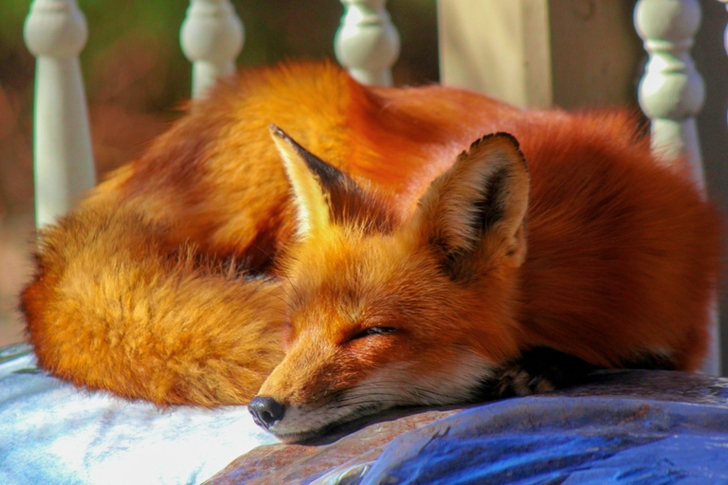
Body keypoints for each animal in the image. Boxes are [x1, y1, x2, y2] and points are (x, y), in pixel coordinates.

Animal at [21, 61, 721, 442]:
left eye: (369, 334)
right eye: (294, 325)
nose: (261, 409)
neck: (601, 255)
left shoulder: (677, 324)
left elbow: (640, 356)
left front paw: (546, 367)